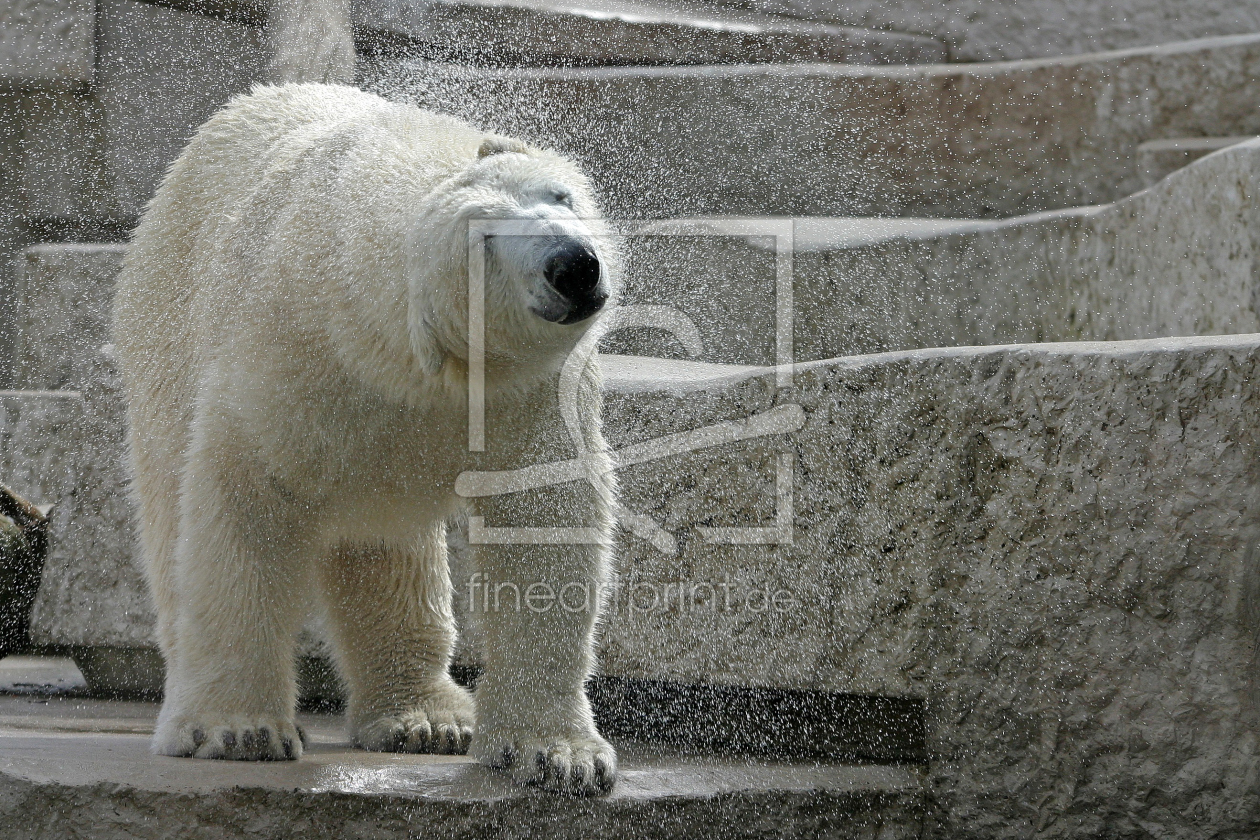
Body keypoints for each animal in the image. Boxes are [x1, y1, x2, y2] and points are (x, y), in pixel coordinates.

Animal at [112, 75, 619, 790]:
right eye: (485, 241)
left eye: (560, 195)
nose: (575, 265)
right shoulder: (288, 360)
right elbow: (243, 507)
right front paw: (238, 729)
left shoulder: (526, 394)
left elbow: (544, 521)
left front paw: (558, 754)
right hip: (165, 330)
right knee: (168, 509)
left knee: (389, 553)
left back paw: (428, 718)